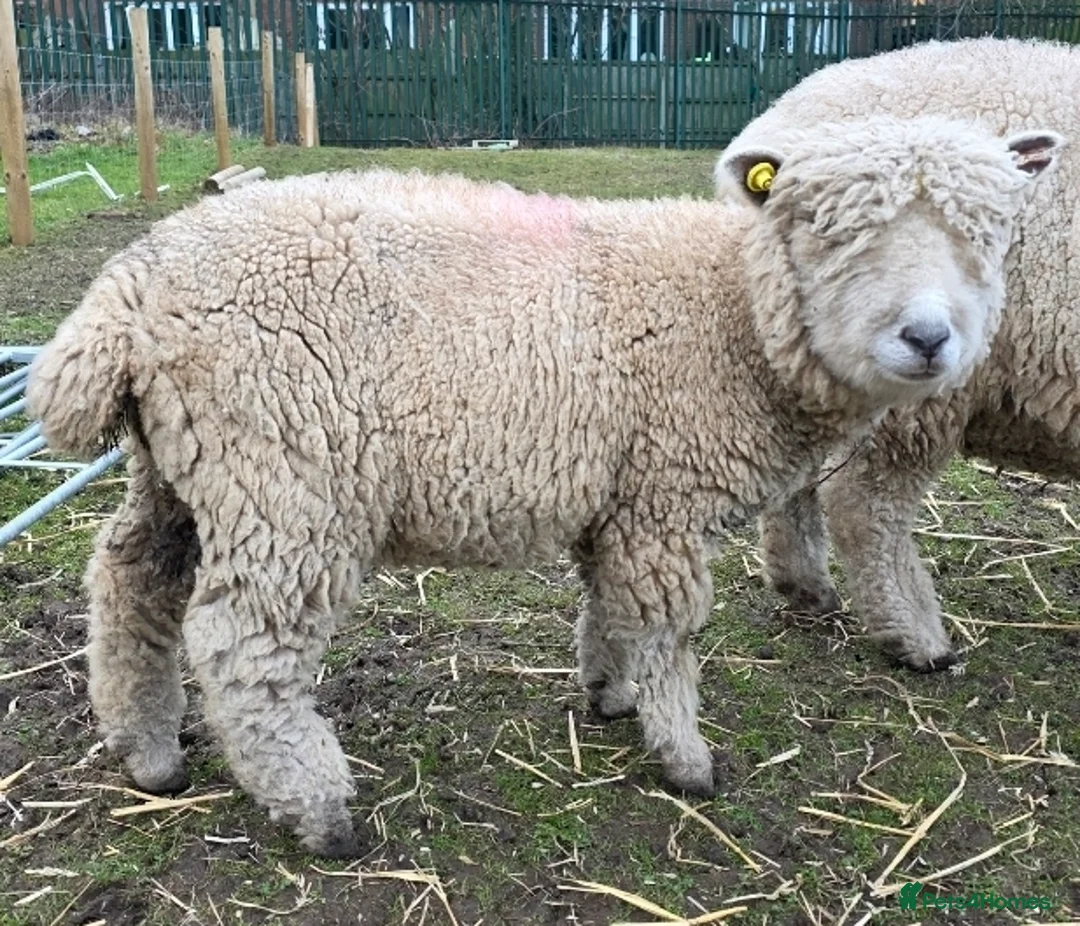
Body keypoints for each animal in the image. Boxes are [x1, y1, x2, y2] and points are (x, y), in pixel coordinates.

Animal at [26, 114, 1061, 856]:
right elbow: (670, 630)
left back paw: (150, 753)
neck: (734, 312)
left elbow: (608, 606)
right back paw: (317, 809)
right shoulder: (664, 497)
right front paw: (684, 757)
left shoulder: (622, 498)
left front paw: (608, 695)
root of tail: (129, 294)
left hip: (185, 468)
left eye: (988, 238)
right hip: (288, 477)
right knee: (243, 643)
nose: (928, 339)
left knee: (130, 583)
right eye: (833, 232)